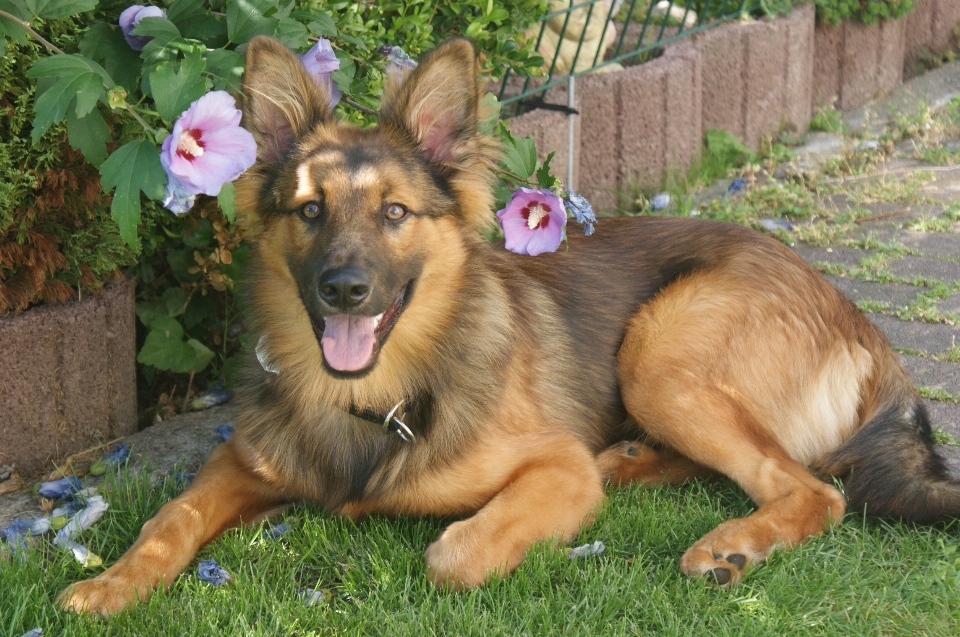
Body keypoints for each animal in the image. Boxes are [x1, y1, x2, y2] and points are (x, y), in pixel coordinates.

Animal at [58, 37, 960, 612]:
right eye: (309, 210)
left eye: (394, 212)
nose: (345, 289)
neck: (373, 398)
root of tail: (856, 318)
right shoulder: (243, 463)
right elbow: (169, 518)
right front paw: (111, 583)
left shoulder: (551, 469)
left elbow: (450, 552)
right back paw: (630, 460)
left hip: (658, 348)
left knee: (808, 485)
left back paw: (730, 539)